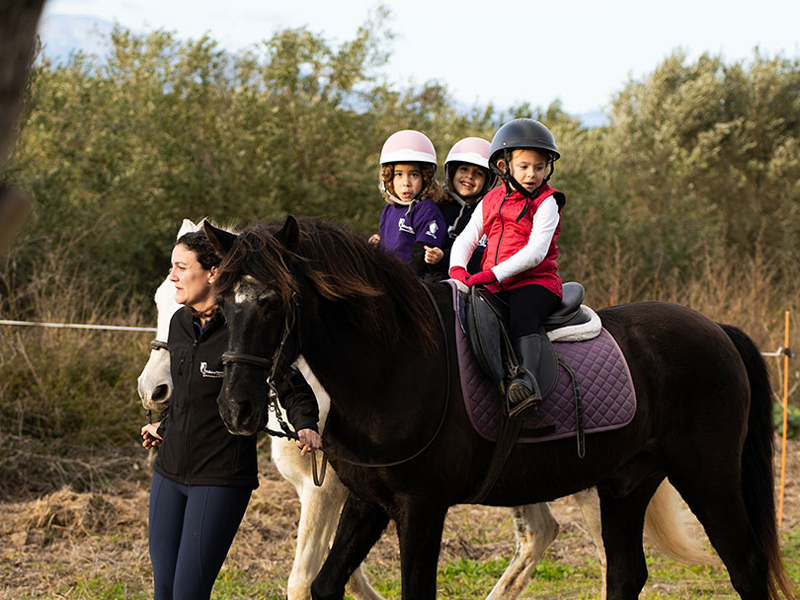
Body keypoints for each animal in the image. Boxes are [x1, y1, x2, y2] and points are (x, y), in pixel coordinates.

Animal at [205, 215, 795, 600]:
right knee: (626, 573)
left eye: (273, 302)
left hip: (706, 475)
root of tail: (715, 328)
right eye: (222, 302)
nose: (235, 408)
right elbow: (325, 584)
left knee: (745, 565)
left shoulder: (420, 508)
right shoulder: (368, 501)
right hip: (626, 483)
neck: (394, 364)